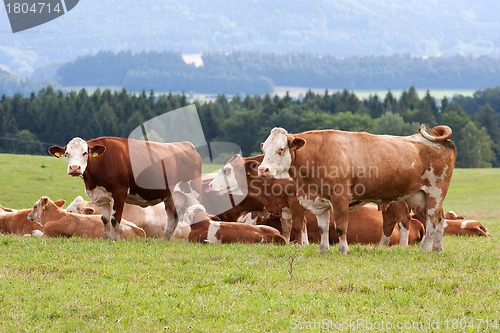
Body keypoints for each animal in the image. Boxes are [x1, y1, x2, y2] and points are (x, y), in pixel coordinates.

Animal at [48, 136, 201, 240]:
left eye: (85, 153)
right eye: (67, 153)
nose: (75, 168)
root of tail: (185, 144)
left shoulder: (119, 192)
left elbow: (115, 218)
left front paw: (115, 240)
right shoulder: (102, 196)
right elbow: (105, 219)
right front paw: (106, 238)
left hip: (192, 192)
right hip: (170, 196)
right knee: (173, 218)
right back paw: (164, 240)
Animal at [258, 124, 458, 252]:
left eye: (281, 149)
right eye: (264, 149)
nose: (263, 169)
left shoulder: (340, 198)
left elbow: (340, 227)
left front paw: (343, 250)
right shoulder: (320, 201)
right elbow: (323, 228)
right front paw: (323, 250)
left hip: (434, 194)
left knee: (433, 221)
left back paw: (425, 249)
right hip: (421, 198)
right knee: (441, 220)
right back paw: (437, 248)